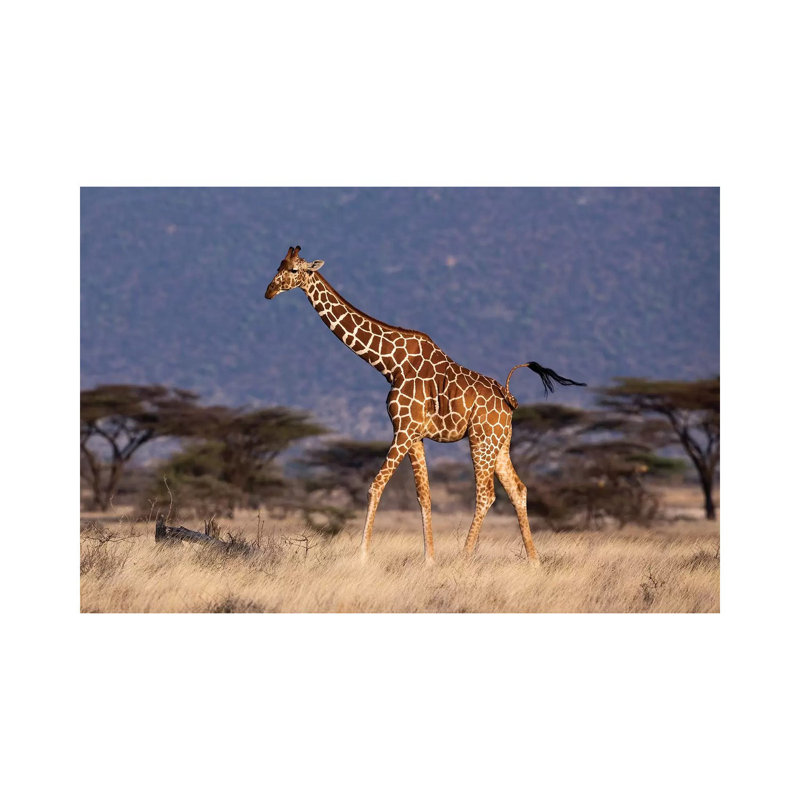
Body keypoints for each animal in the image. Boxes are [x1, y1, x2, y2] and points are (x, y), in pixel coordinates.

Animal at [265, 245, 585, 565]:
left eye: (294, 270)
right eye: (278, 265)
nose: (269, 291)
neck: (390, 364)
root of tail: (509, 399)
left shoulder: (403, 429)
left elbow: (375, 486)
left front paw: (362, 555)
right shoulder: (414, 434)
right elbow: (424, 495)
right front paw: (429, 558)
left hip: (481, 439)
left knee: (486, 494)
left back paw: (465, 556)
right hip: (500, 443)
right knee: (518, 489)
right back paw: (534, 561)